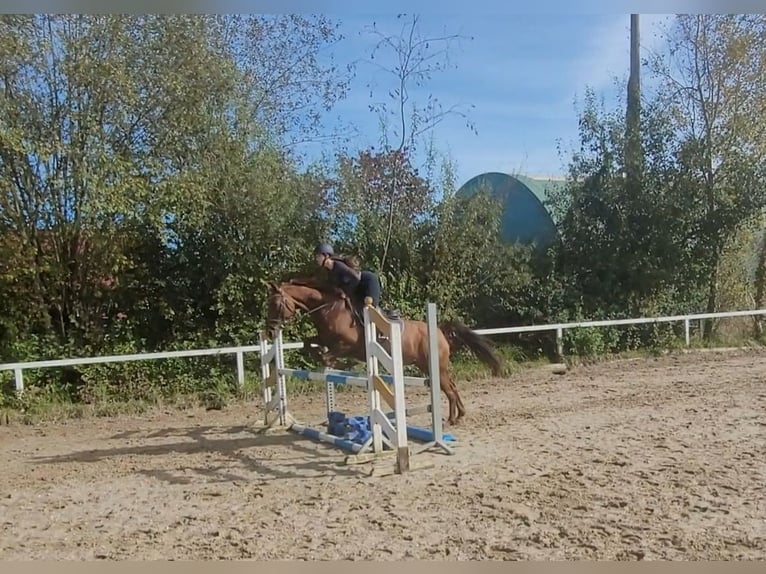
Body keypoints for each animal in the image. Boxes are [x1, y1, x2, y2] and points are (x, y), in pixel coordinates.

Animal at [264, 280, 504, 428]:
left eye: (275, 303)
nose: (270, 331)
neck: (329, 309)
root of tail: (439, 330)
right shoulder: (324, 338)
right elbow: (308, 344)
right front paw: (325, 358)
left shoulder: (347, 344)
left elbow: (330, 355)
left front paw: (342, 364)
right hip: (430, 367)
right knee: (451, 387)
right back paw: (460, 415)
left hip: (436, 367)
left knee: (449, 390)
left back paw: (453, 419)